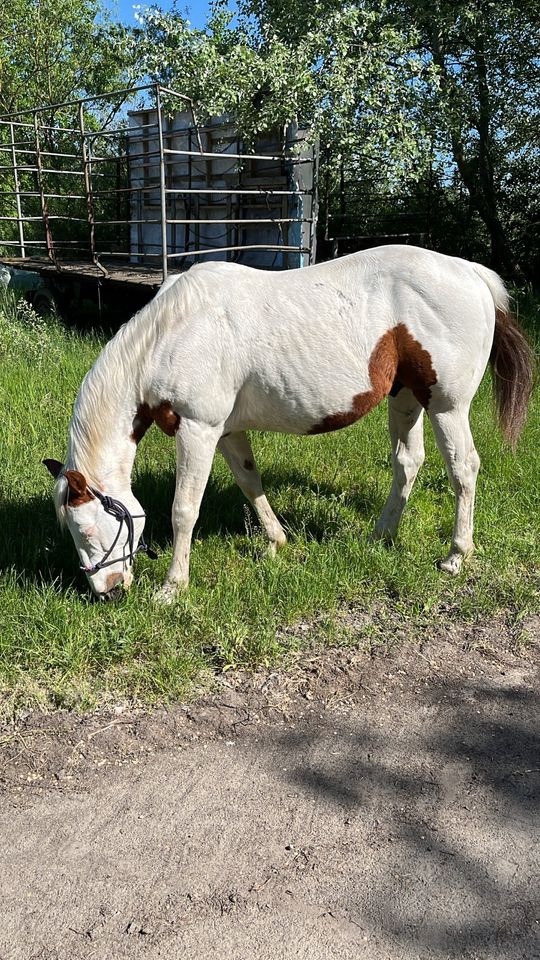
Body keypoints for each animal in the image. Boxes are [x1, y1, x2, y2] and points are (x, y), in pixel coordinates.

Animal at [44, 244, 532, 600]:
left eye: (86, 528)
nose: (108, 591)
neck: (172, 332)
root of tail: (470, 272)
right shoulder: (227, 431)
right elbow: (250, 483)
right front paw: (276, 542)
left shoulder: (199, 430)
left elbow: (184, 509)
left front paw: (171, 588)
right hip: (406, 398)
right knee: (408, 463)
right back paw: (380, 535)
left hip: (447, 407)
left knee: (463, 469)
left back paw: (456, 555)